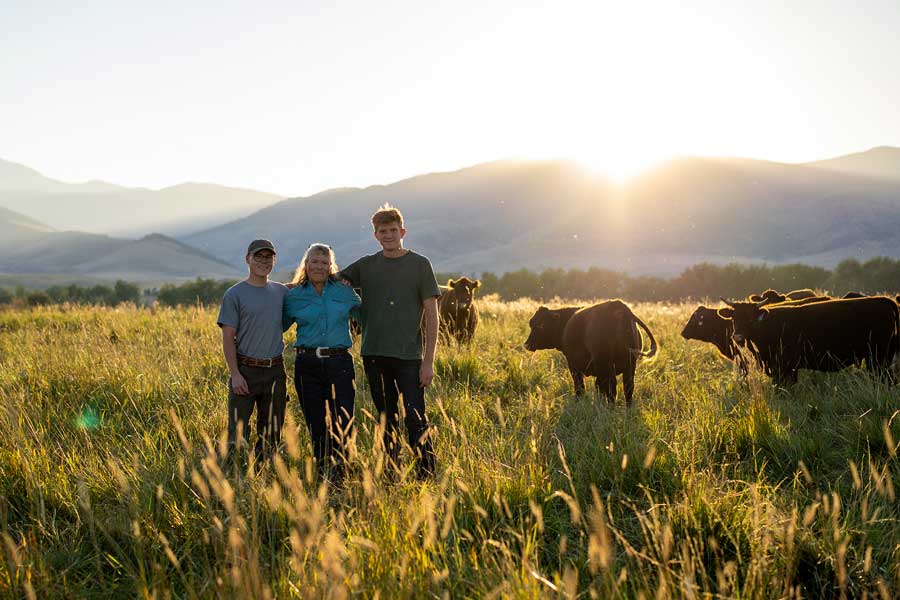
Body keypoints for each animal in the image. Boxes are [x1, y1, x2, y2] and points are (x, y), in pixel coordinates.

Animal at [524, 300, 656, 404]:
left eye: (541, 325)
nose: (527, 344)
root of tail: (618, 306)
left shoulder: (573, 365)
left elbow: (580, 387)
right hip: (629, 364)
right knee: (628, 388)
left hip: (607, 364)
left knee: (612, 388)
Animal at [716, 296, 900, 384]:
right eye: (734, 319)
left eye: (751, 319)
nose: (738, 336)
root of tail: (882, 300)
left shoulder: (786, 367)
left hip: (878, 357)